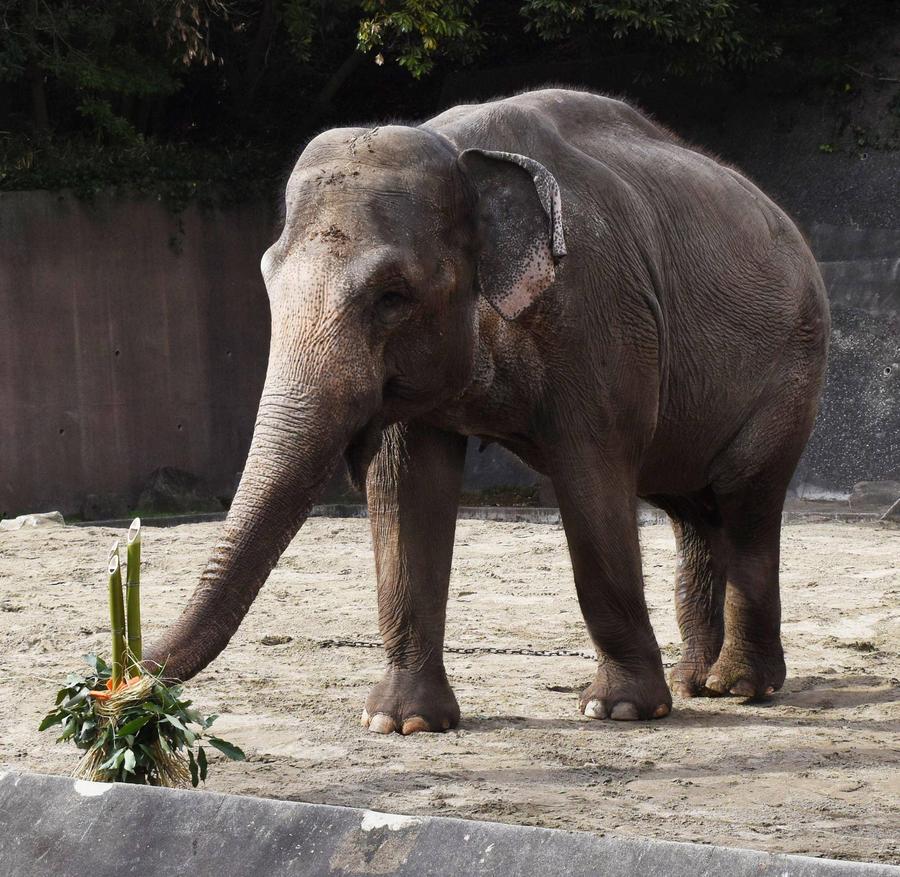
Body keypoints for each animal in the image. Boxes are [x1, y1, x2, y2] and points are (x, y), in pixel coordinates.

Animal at [146, 89, 828, 732]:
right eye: (266, 278)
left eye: (392, 297)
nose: (124, 688)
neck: (460, 153)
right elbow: (409, 487)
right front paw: (403, 722)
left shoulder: (598, 317)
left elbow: (593, 474)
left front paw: (618, 711)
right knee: (692, 508)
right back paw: (696, 683)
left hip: (793, 367)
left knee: (744, 497)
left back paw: (740, 687)